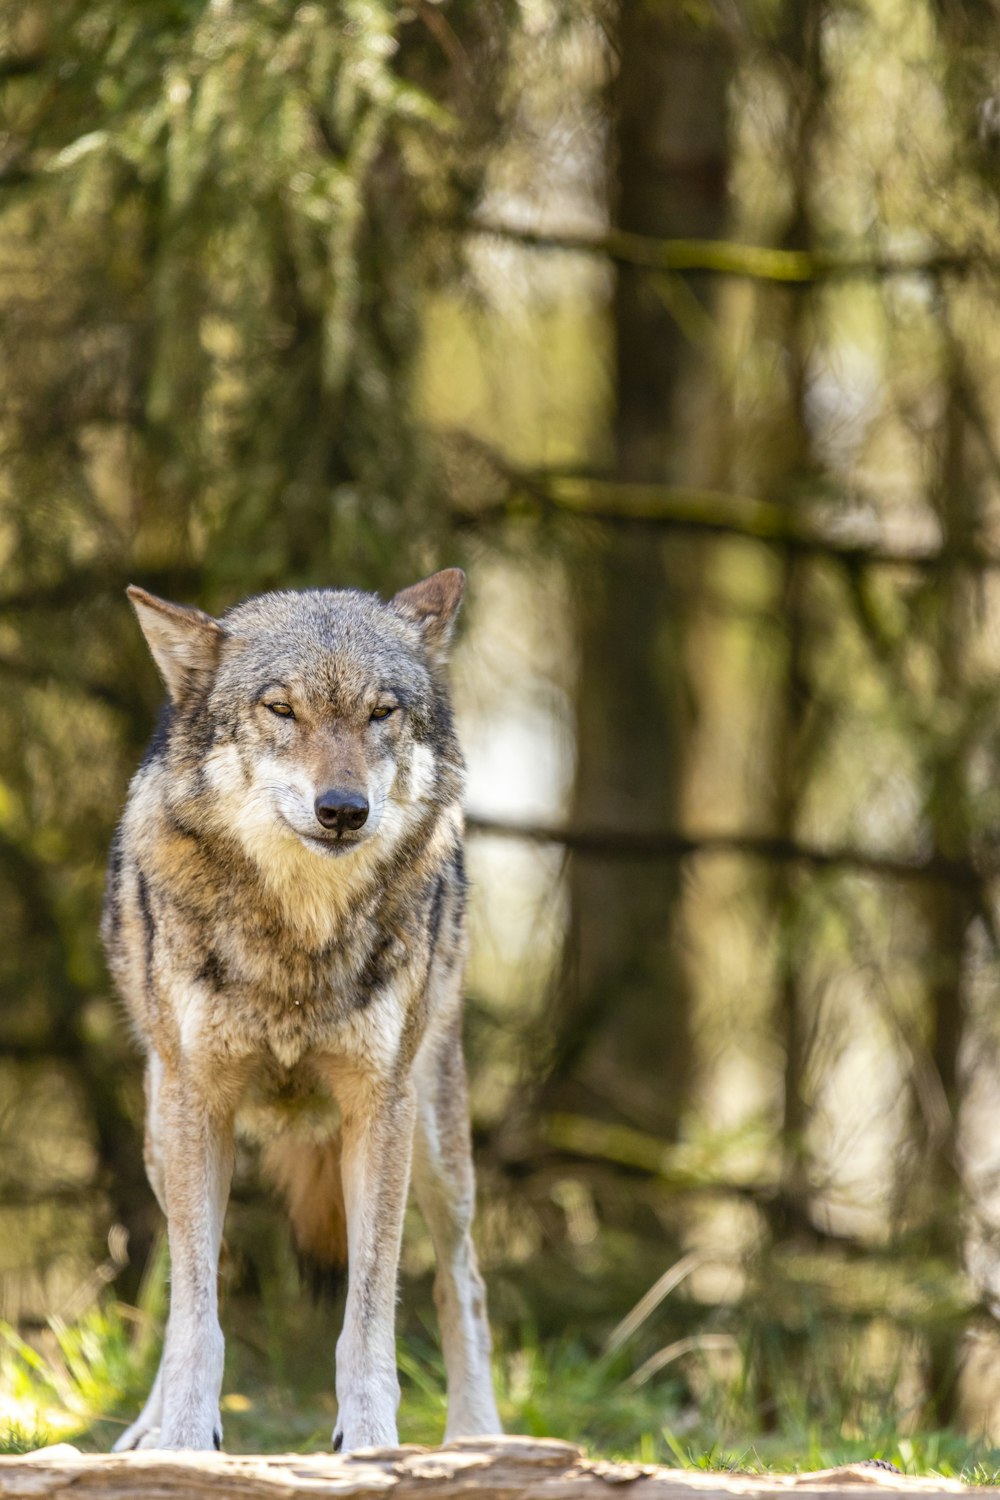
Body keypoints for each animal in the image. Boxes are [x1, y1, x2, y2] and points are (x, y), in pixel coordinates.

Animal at [101, 570, 500, 1452]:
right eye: (281, 709)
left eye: (381, 712)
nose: (343, 809)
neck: (298, 940)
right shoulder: (197, 1108)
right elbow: (196, 1317)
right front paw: (184, 1444)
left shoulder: (379, 1110)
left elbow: (370, 1319)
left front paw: (374, 1445)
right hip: (158, 1132)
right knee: (178, 1294)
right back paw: (145, 1430)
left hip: (438, 1147)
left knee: (464, 1281)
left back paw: (483, 1438)